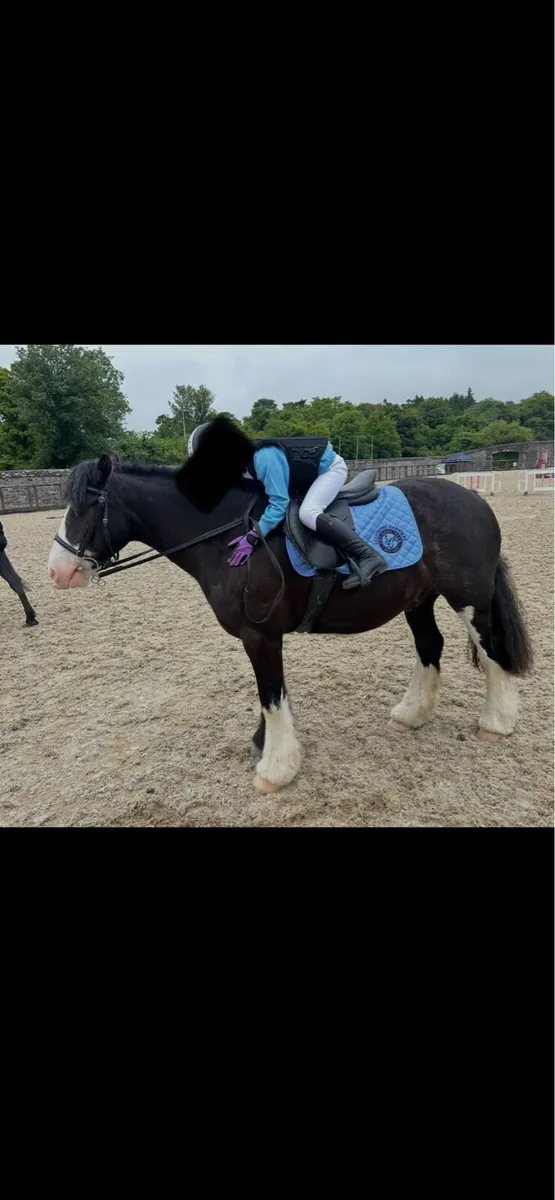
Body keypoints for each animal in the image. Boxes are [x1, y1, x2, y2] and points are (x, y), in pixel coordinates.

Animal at [47, 448, 533, 796]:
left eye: (86, 507)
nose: (57, 572)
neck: (226, 537)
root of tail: (473, 500)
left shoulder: (260, 635)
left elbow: (271, 696)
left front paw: (275, 768)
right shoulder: (260, 638)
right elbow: (270, 695)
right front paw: (263, 745)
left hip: (470, 601)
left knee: (491, 652)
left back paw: (497, 721)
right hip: (419, 600)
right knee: (430, 647)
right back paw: (412, 714)